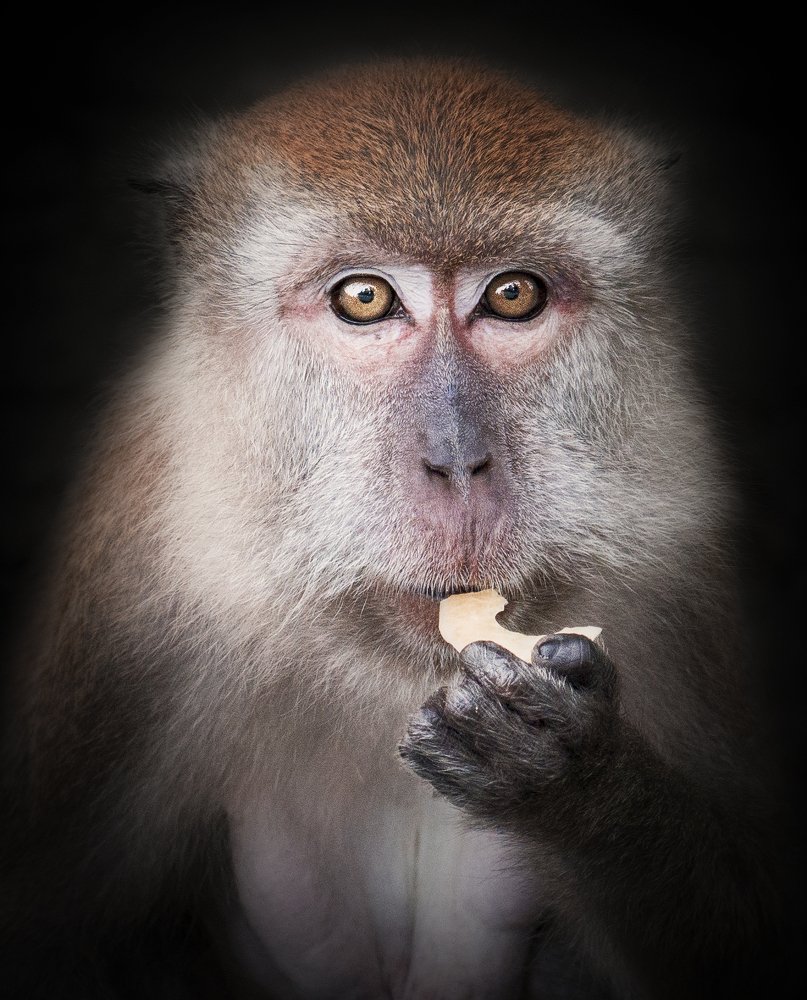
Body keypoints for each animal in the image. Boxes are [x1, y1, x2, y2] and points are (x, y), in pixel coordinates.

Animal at [1, 58, 789, 999]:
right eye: (365, 297)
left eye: (512, 294)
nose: (456, 461)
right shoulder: (132, 609)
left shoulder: (677, 583)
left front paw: (579, 784)